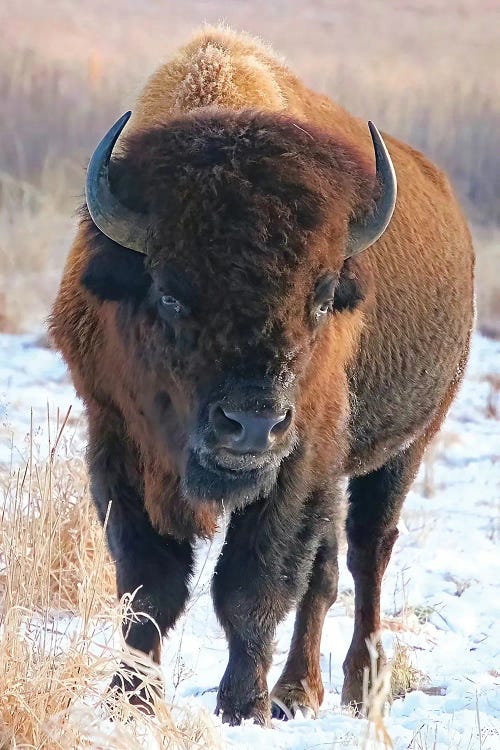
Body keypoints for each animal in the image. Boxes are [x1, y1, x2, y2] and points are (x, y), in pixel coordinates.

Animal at [49, 26, 472, 724]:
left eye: (322, 298)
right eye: (170, 294)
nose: (251, 425)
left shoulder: (297, 462)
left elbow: (253, 584)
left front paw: (242, 705)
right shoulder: (116, 438)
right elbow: (147, 583)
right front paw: (128, 700)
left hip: (403, 448)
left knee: (366, 554)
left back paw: (344, 688)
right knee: (327, 569)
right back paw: (300, 689)